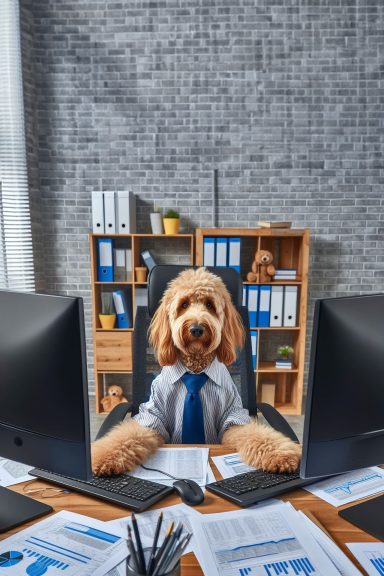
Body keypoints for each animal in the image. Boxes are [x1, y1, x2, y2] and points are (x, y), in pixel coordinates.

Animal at [91, 270, 302, 476]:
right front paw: (102, 456)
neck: (195, 369)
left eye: (209, 304)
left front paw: (282, 454)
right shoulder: (152, 416)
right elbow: (128, 435)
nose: (197, 328)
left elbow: (256, 434)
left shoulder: (233, 416)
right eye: (184, 304)